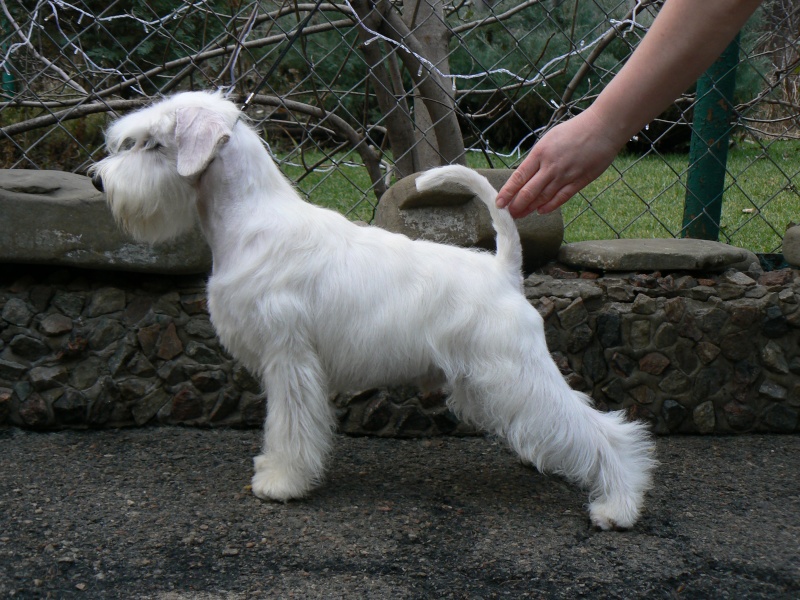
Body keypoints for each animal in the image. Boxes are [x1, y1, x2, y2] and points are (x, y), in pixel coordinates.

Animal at [92, 89, 656, 528]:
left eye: (152, 143)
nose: (98, 181)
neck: (250, 219)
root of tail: (503, 271)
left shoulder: (289, 360)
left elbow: (291, 428)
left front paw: (282, 482)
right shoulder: (283, 365)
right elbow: (279, 427)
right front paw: (273, 469)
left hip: (516, 373)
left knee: (601, 430)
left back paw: (618, 504)